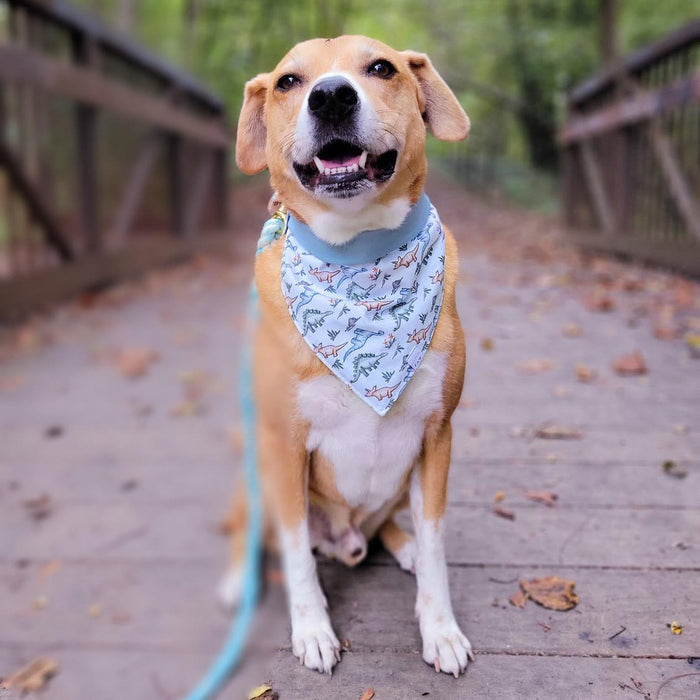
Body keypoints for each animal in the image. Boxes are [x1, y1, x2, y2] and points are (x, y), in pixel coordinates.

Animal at [223, 34, 476, 680]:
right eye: (288, 81)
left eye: (381, 67)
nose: (332, 96)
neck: (360, 260)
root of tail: (345, 537)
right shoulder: (283, 445)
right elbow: (296, 556)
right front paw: (312, 629)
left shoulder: (437, 436)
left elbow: (437, 544)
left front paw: (440, 628)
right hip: (254, 469)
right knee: (251, 531)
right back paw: (238, 581)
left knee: (390, 525)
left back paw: (399, 544)